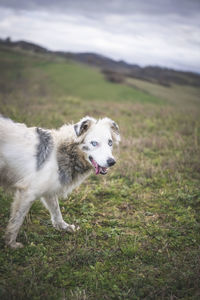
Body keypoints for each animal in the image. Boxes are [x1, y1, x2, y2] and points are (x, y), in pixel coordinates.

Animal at [0, 115, 120, 248]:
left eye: (110, 143)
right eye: (94, 143)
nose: (112, 162)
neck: (63, 151)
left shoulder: (49, 190)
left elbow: (56, 211)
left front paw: (64, 227)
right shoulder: (28, 192)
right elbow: (17, 220)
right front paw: (11, 243)